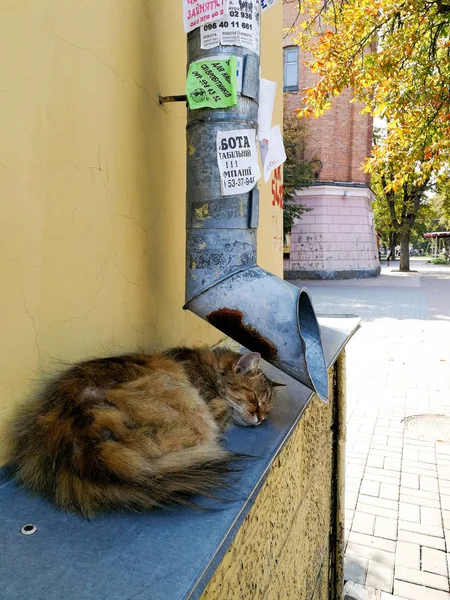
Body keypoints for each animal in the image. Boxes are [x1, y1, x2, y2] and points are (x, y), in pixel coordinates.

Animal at [5, 346, 280, 516]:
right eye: (255, 399)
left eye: (267, 410)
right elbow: (223, 407)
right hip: (186, 403)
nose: (260, 419)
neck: (210, 371)